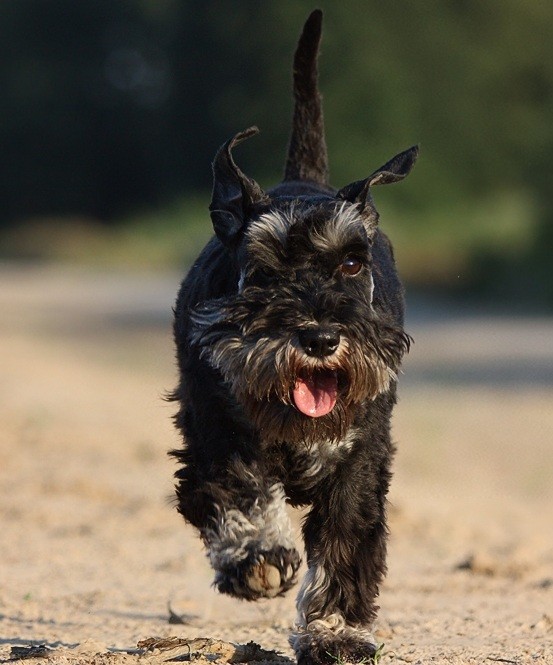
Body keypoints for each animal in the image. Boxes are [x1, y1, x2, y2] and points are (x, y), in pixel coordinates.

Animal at [170, 10, 416, 664]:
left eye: (353, 263)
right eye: (265, 267)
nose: (322, 338)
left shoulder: (361, 453)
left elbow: (346, 538)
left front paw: (336, 633)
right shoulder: (214, 426)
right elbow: (238, 487)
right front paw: (258, 556)